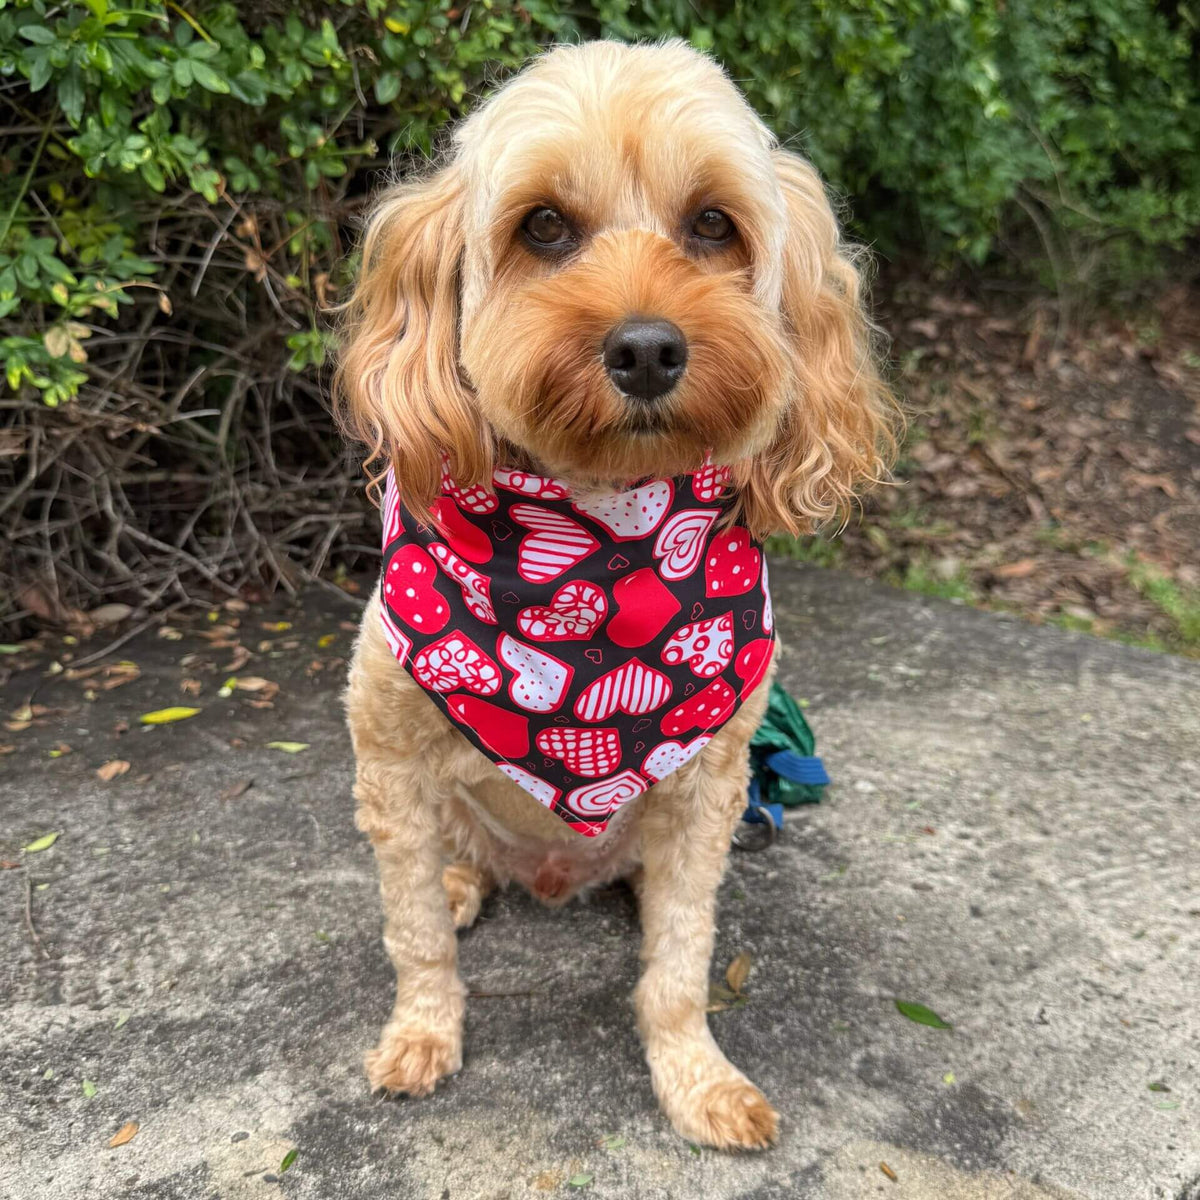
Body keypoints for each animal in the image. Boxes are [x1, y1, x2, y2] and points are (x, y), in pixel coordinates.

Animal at [333, 39, 897, 1152]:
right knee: (456, 863)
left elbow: (679, 967)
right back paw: (464, 882)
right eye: (544, 225)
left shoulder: (711, 784)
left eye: (713, 224)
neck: (597, 548)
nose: (646, 349)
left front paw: (697, 1079)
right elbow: (414, 937)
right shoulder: (387, 756)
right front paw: (422, 1034)